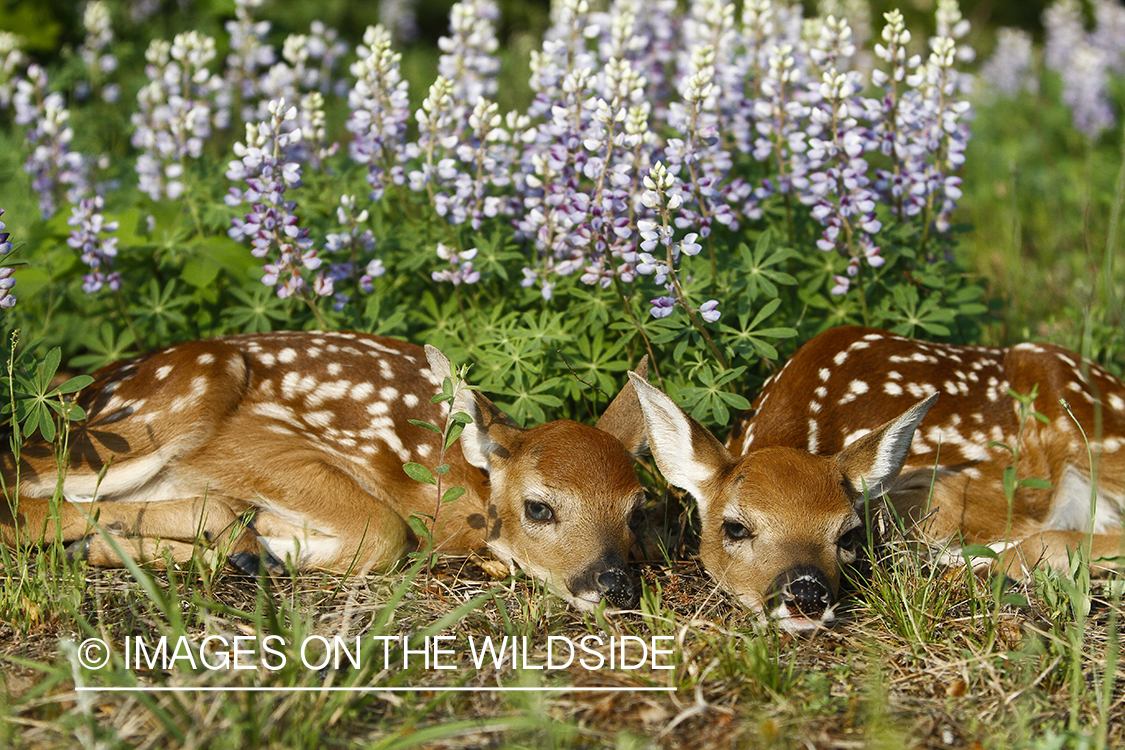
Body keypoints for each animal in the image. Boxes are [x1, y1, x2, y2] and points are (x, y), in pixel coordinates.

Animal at [0, 331, 651, 612]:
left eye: (636, 511)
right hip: (176, 400)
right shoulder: (262, 445)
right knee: (16, 501)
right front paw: (262, 538)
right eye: (539, 507)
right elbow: (383, 532)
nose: (616, 586)